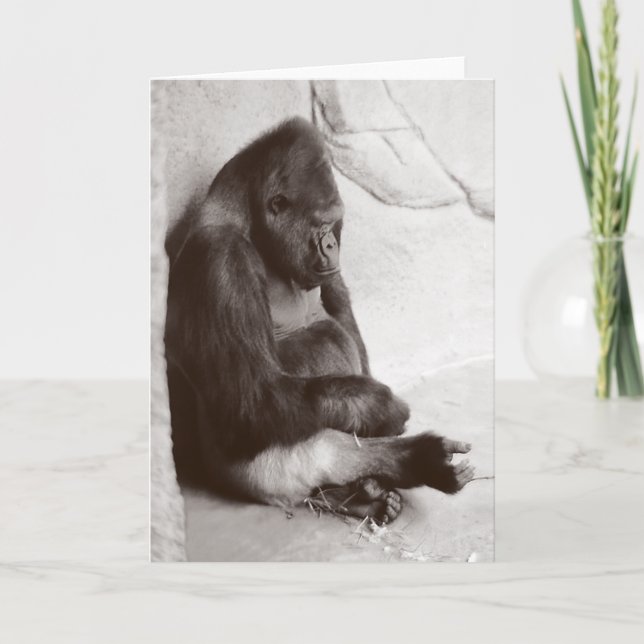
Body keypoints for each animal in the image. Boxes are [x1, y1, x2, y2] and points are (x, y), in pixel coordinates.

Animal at [164, 116, 474, 524]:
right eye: (320, 224)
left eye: (336, 223)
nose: (332, 245)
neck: (248, 220)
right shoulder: (219, 260)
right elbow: (254, 397)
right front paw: (381, 405)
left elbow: (340, 313)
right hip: (253, 476)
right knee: (318, 449)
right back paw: (409, 465)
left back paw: (370, 489)